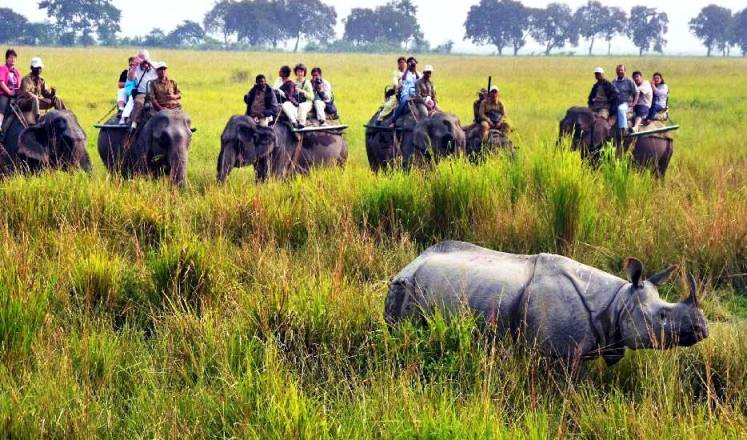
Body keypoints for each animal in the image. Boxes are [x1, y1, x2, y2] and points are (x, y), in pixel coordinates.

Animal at [215, 116, 346, 183]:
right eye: (221, 140)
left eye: (238, 143)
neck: (260, 126)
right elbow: (260, 177)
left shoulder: (282, 149)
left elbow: (275, 178)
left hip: (342, 154)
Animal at [388, 241, 712, 364]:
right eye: (662, 316)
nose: (703, 329)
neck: (618, 302)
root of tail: (410, 262)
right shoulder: (559, 353)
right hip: (405, 287)